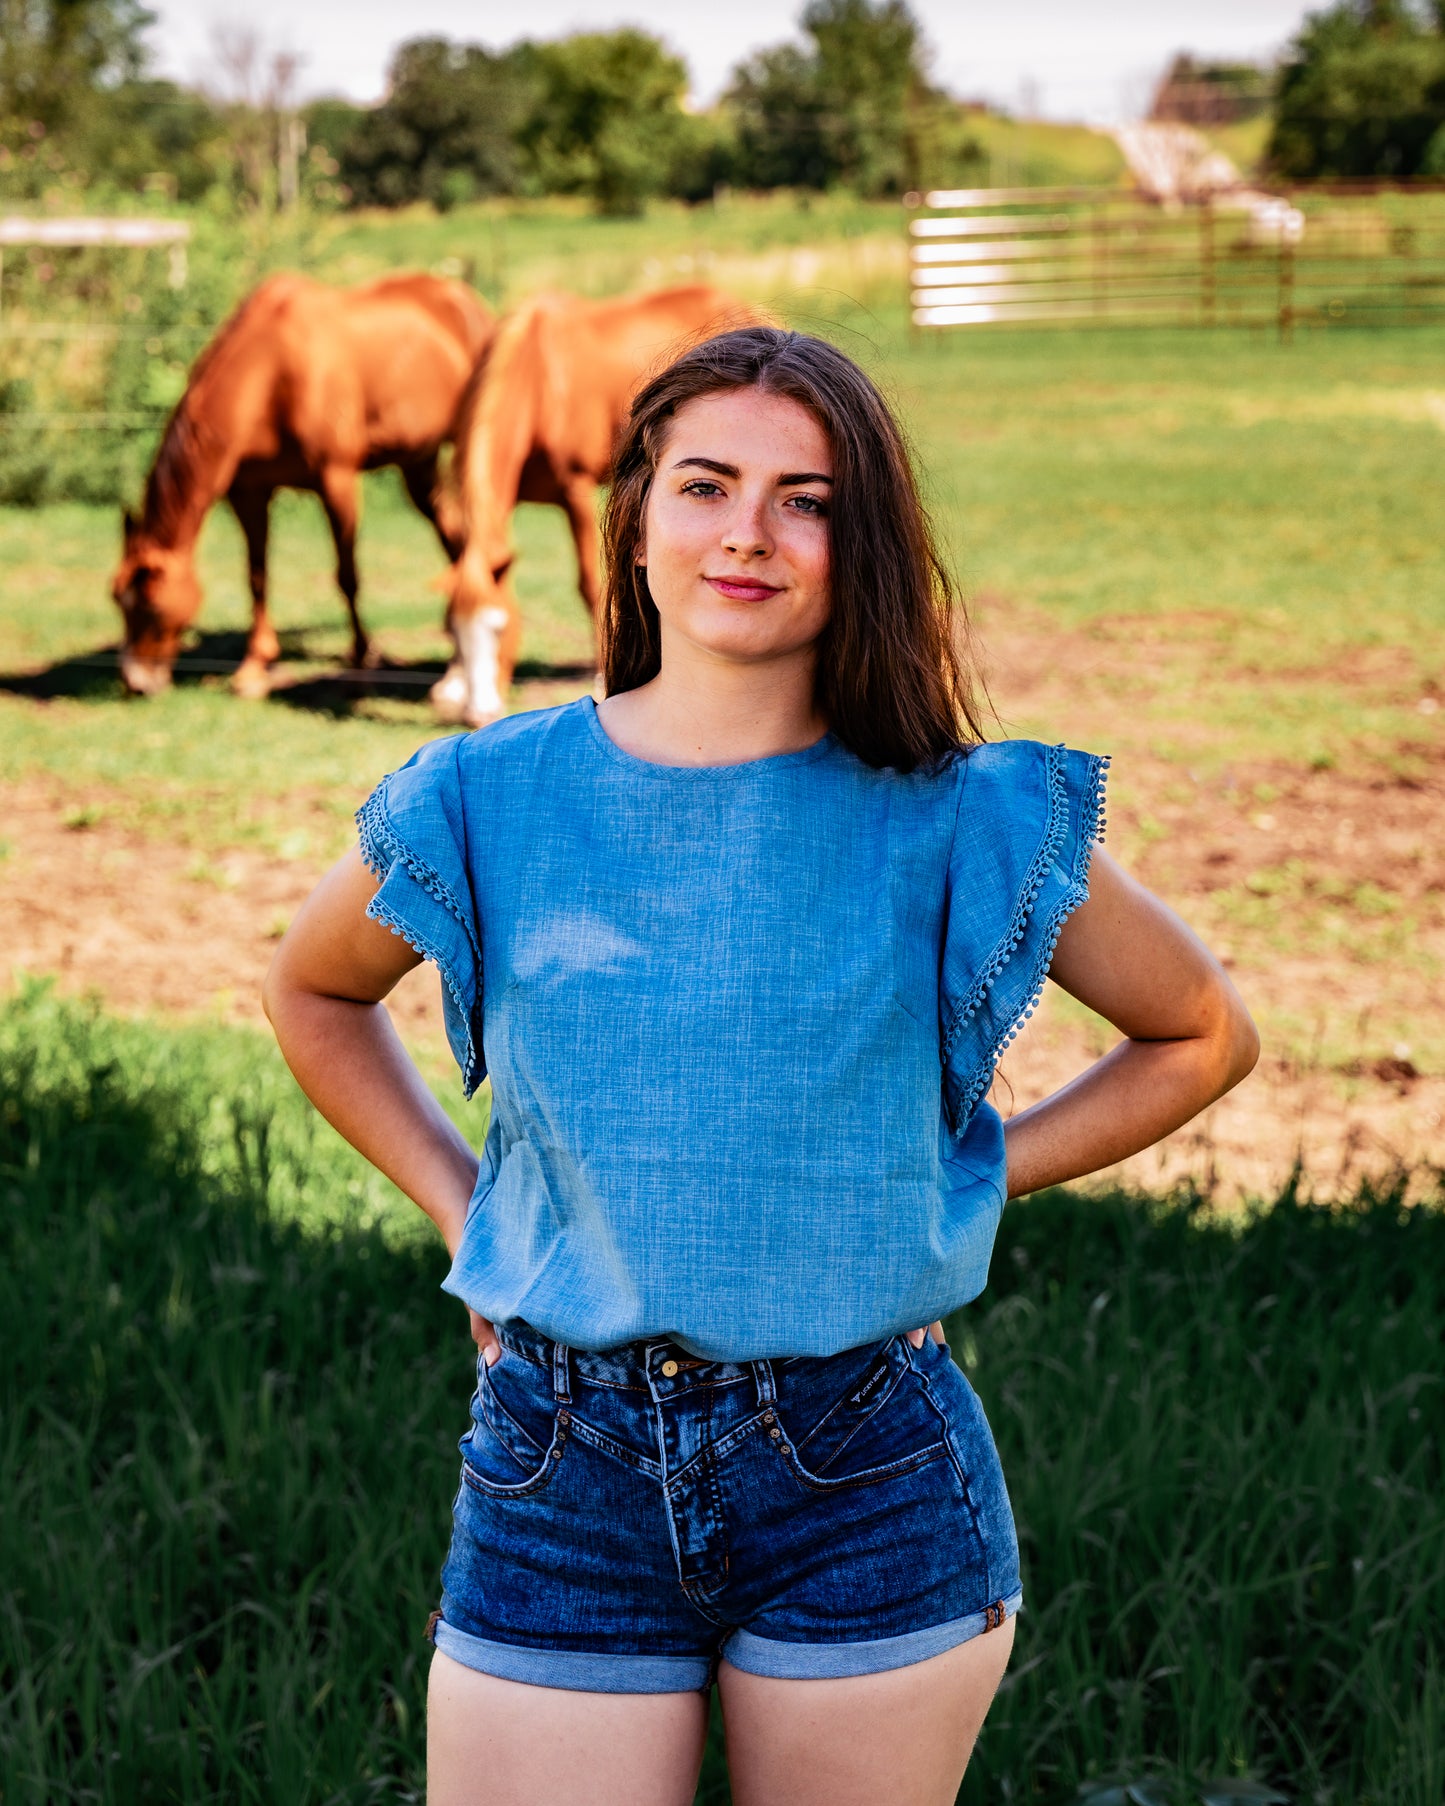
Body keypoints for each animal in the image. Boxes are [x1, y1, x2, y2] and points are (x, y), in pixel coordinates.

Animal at [111, 272, 491, 697]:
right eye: (117, 600)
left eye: (151, 606)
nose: (136, 682)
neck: (274, 371)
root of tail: (464, 299)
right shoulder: (249, 493)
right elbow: (256, 575)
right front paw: (253, 667)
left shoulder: (336, 481)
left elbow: (347, 576)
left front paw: (361, 664)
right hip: (417, 464)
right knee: (454, 538)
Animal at [435, 281, 762, 726]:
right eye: (451, 630)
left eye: (500, 628)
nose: (478, 714)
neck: (538, 381)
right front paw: (452, 686)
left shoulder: (575, 490)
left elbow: (590, 584)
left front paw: (602, 677)